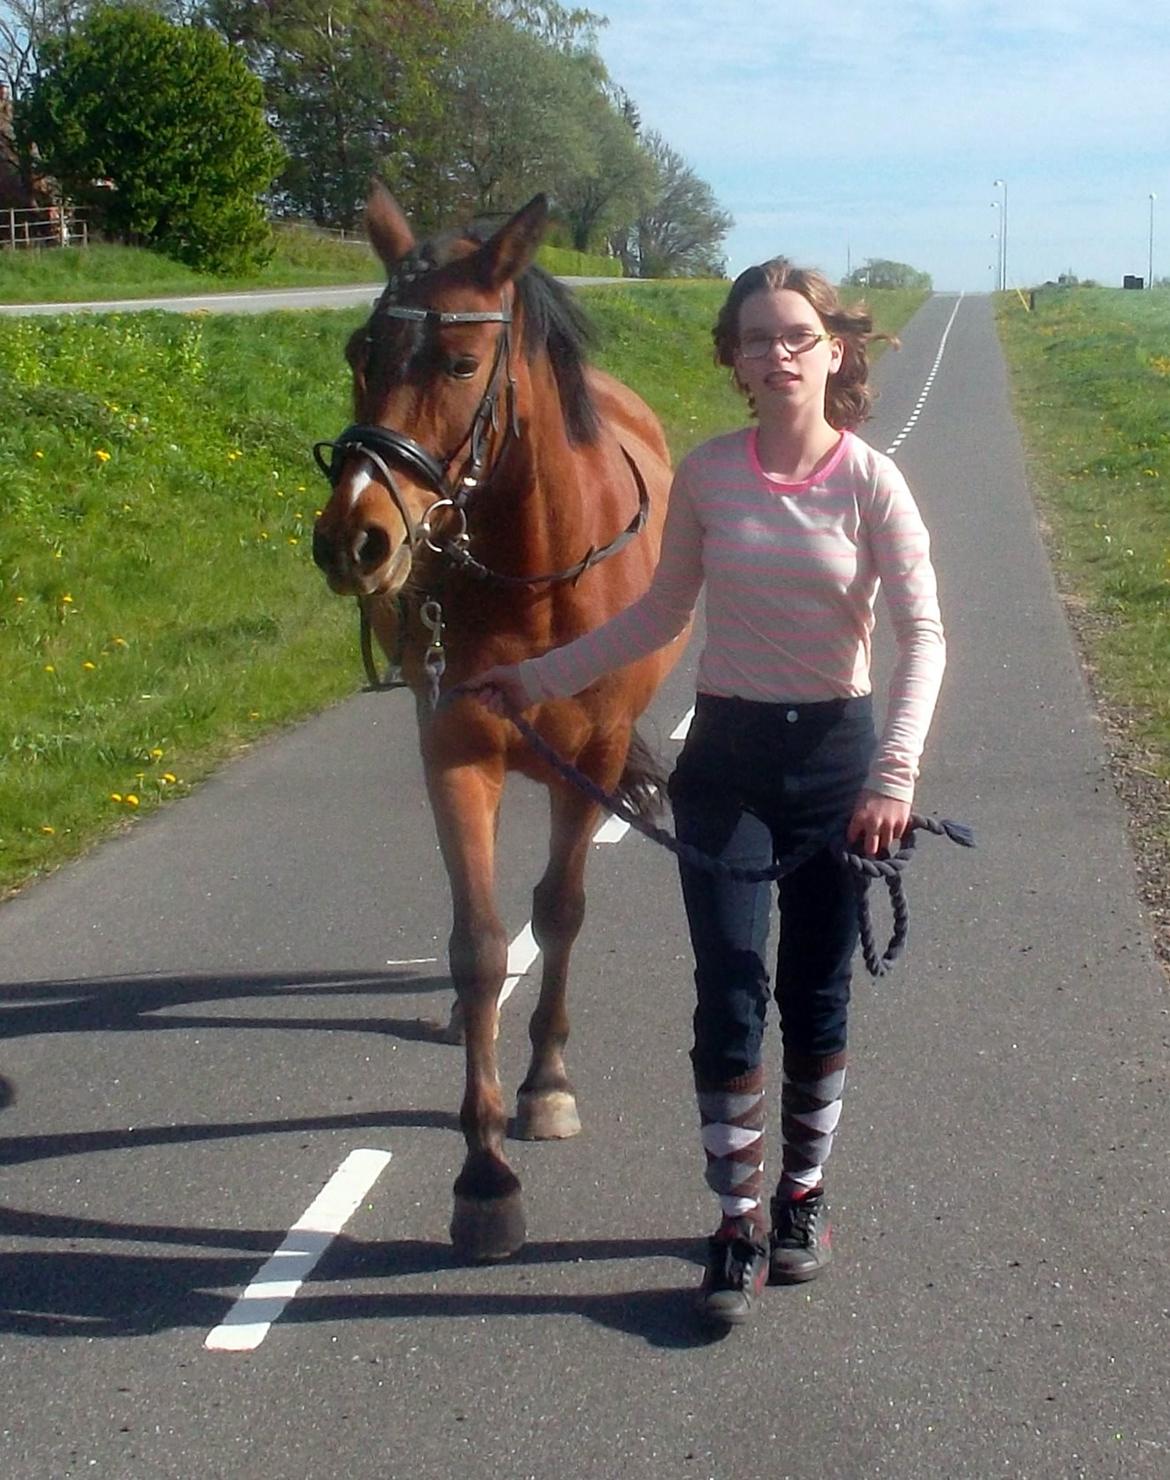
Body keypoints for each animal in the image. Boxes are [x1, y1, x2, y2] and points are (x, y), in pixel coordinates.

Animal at [311, 184, 682, 1261]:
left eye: (462, 363)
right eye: (358, 350)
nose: (354, 536)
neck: (536, 571)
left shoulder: (591, 756)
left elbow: (558, 913)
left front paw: (545, 1084)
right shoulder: (456, 748)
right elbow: (478, 945)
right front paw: (482, 1174)